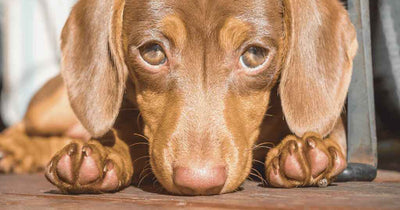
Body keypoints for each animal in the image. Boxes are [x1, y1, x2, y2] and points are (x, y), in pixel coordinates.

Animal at [0, 0, 356, 195]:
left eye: (255, 54)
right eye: (153, 52)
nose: (199, 182)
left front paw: (310, 150)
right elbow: (119, 135)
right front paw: (101, 155)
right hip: (51, 109)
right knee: (25, 125)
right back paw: (13, 149)